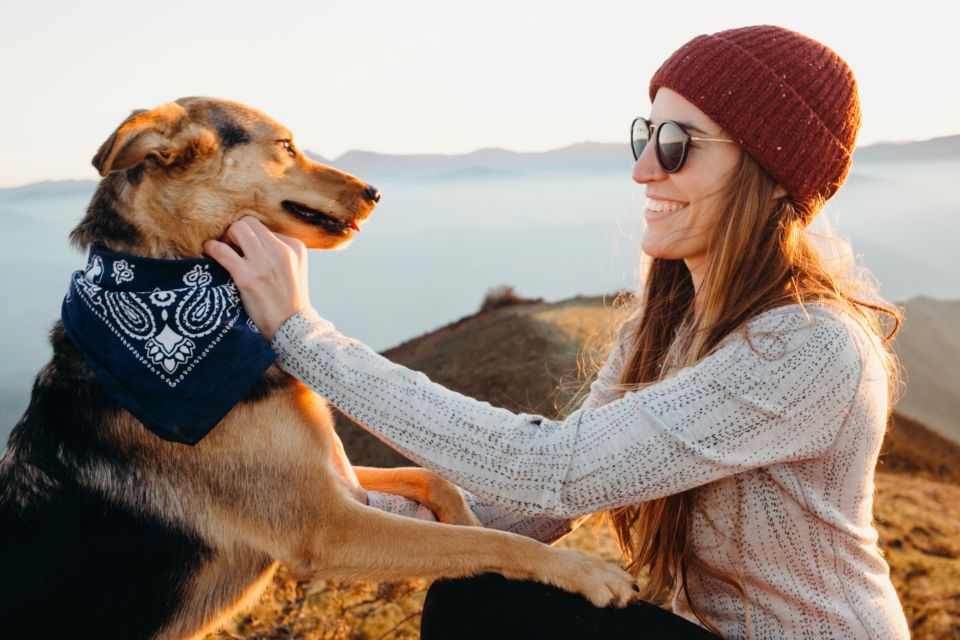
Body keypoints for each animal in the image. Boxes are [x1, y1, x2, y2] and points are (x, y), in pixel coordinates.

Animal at [0, 97, 635, 639]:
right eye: (285, 145)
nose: (376, 192)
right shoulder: (325, 524)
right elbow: (496, 546)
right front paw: (581, 571)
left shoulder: (334, 481)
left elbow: (438, 485)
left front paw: (471, 519)